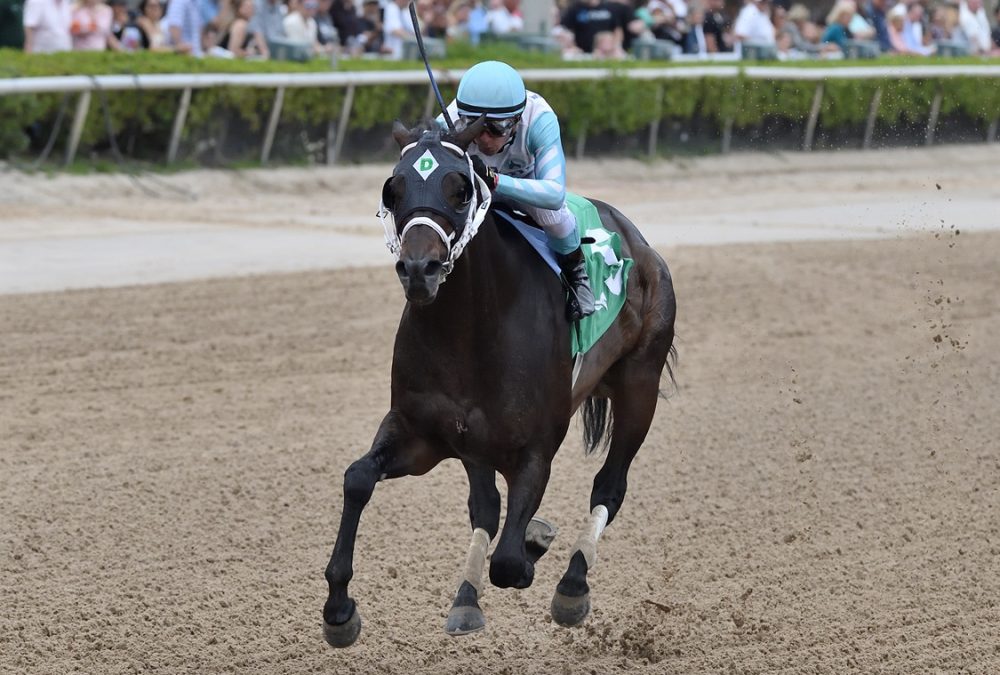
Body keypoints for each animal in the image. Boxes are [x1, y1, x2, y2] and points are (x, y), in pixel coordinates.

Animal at [324, 119, 676, 648]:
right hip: (477, 445)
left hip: (640, 385)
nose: (419, 270)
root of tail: (637, 242)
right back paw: (468, 599)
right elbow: (358, 479)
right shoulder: (421, 435)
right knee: (486, 507)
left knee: (609, 486)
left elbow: (509, 563)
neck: (468, 328)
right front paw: (339, 609)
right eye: (394, 188)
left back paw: (571, 584)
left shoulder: (534, 449)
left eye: (461, 189)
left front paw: (533, 543)